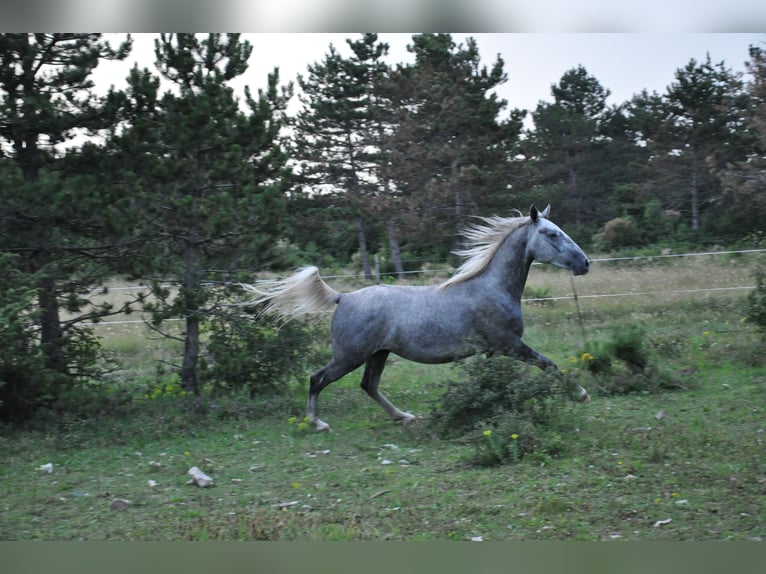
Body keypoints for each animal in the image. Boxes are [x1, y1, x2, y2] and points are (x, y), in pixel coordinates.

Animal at [252, 206, 592, 432]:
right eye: (551, 233)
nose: (585, 263)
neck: (491, 288)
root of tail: (342, 297)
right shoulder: (510, 344)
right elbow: (549, 365)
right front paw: (582, 394)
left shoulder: (495, 350)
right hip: (349, 355)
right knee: (318, 379)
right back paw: (318, 422)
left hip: (378, 353)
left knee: (368, 385)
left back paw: (403, 417)